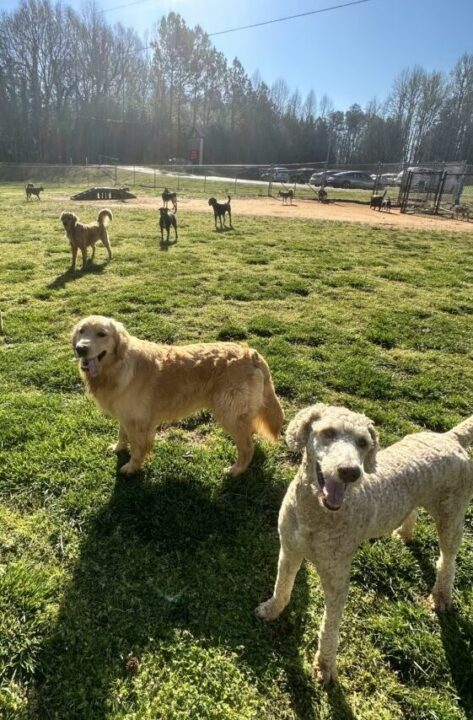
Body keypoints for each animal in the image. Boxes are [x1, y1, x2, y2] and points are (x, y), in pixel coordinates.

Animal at [72, 316, 282, 476]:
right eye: (82, 331)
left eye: (101, 334)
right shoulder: (126, 415)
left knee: (247, 446)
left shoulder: (138, 422)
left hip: (228, 415)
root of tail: (251, 353)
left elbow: (137, 448)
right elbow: (122, 434)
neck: (117, 367)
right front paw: (118, 448)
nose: (80, 349)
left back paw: (236, 470)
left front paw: (131, 467)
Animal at [256, 402, 472, 684]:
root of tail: (450, 436)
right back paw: (404, 534)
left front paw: (325, 665)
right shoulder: (289, 550)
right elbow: (282, 587)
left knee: (448, 559)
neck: (315, 513)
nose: (350, 472)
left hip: (452, 516)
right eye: (328, 432)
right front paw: (272, 610)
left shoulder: (337, 577)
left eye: (363, 442)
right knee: (412, 512)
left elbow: (330, 626)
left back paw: (442, 595)